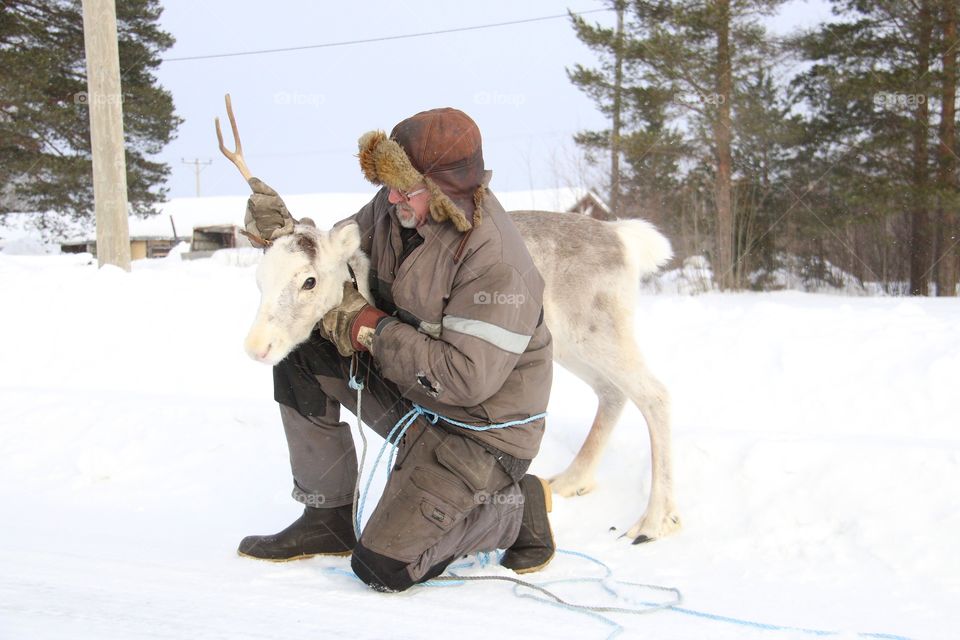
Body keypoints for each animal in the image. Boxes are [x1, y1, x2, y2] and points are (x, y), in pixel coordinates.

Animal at [216, 95, 681, 544]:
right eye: (260, 279)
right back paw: (570, 481)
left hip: (600, 332)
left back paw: (654, 520)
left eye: (309, 281)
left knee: (655, 394)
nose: (256, 346)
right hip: (572, 344)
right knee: (612, 393)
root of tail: (622, 237)